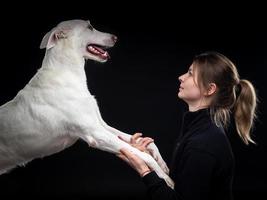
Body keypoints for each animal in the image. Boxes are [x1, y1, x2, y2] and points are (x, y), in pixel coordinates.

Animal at [0, 19, 174, 188]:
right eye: (89, 27)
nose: (115, 37)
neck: (66, 74)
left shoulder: (100, 125)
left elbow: (142, 142)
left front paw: (161, 162)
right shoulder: (95, 134)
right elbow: (141, 154)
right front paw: (164, 177)